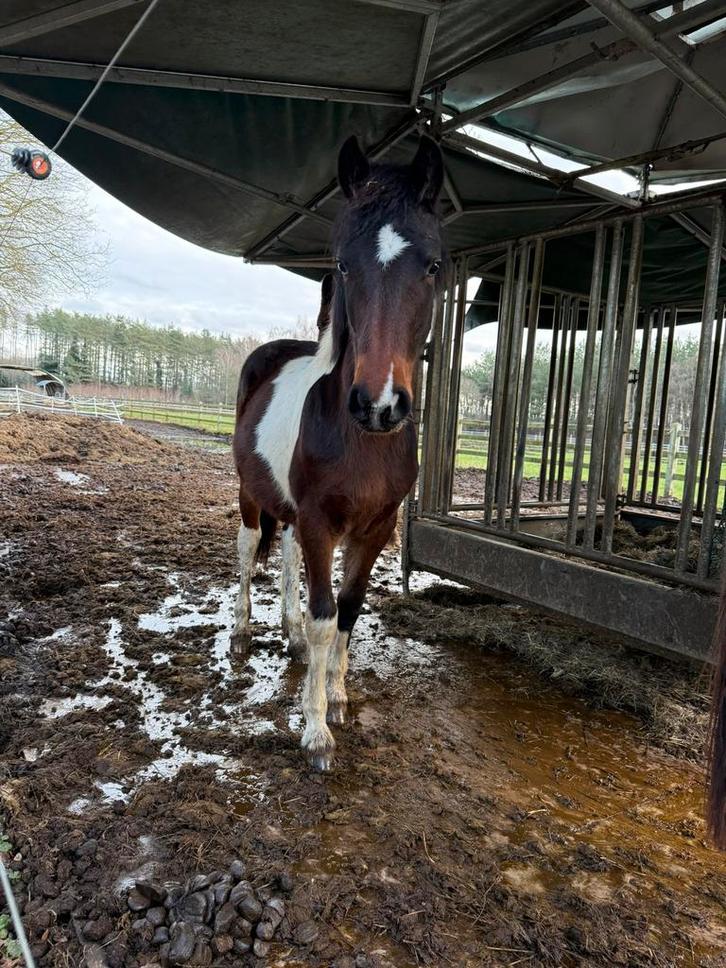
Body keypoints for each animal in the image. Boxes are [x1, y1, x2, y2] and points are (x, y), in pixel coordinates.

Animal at [231, 134, 445, 770]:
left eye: (433, 264)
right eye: (345, 263)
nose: (379, 404)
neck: (361, 442)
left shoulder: (375, 527)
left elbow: (347, 608)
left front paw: (339, 694)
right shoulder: (322, 522)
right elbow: (326, 615)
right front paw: (316, 729)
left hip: (292, 513)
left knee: (286, 559)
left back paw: (291, 633)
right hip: (251, 494)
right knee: (248, 551)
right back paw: (243, 629)